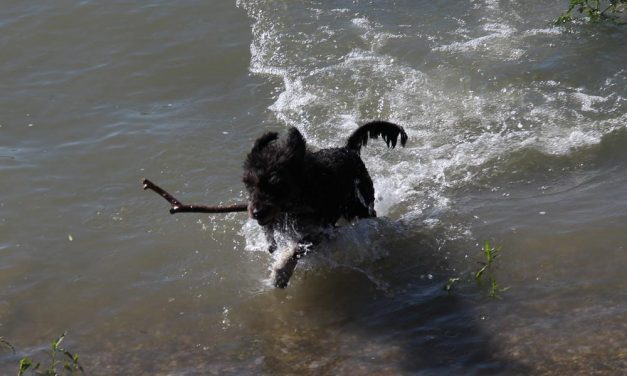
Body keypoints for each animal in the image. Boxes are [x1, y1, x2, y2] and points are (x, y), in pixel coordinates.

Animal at [243, 122, 410, 286]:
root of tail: (347, 149)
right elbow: (275, 245)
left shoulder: (320, 229)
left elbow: (298, 248)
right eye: (248, 183)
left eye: (276, 184)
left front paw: (281, 273)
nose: (256, 212)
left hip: (359, 206)